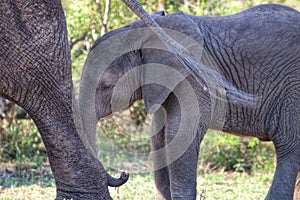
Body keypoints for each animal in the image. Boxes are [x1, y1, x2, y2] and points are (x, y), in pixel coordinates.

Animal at [81, 3, 300, 200]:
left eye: (106, 85)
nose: (124, 173)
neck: (145, 31)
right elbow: (158, 137)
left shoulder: (191, 77)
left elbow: (179, 134)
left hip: (293, 89)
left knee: (288, 147)